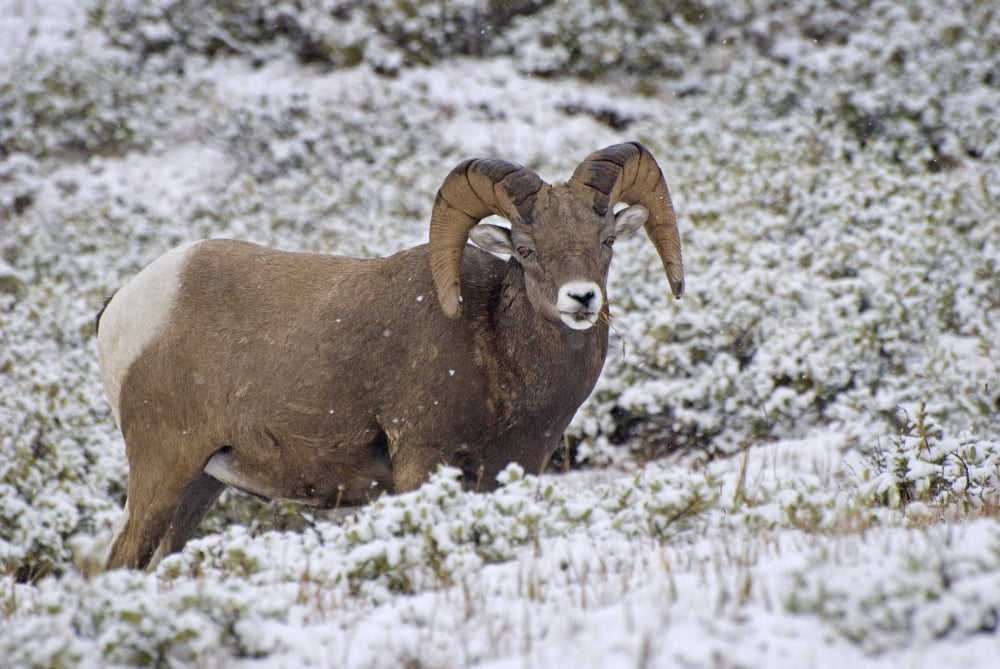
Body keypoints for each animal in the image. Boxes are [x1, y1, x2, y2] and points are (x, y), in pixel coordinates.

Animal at [96, 141, 684, 570]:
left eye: (606, 240)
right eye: (526, 249)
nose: (581, 299)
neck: (496, 349)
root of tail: (121, 306)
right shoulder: (421, 462)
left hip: (201, 484)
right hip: (163, 467)